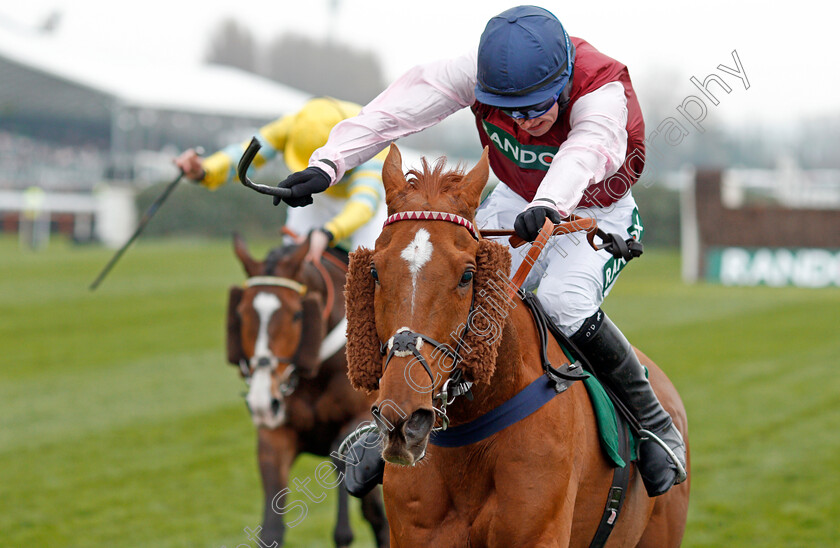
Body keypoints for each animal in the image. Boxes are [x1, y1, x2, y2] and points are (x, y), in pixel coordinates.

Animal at [226, 233, 390, 544]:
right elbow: (271, 530)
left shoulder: (359, 420)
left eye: (296, 315)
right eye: (241, 314)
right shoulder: (274, 435)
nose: (261, 401)